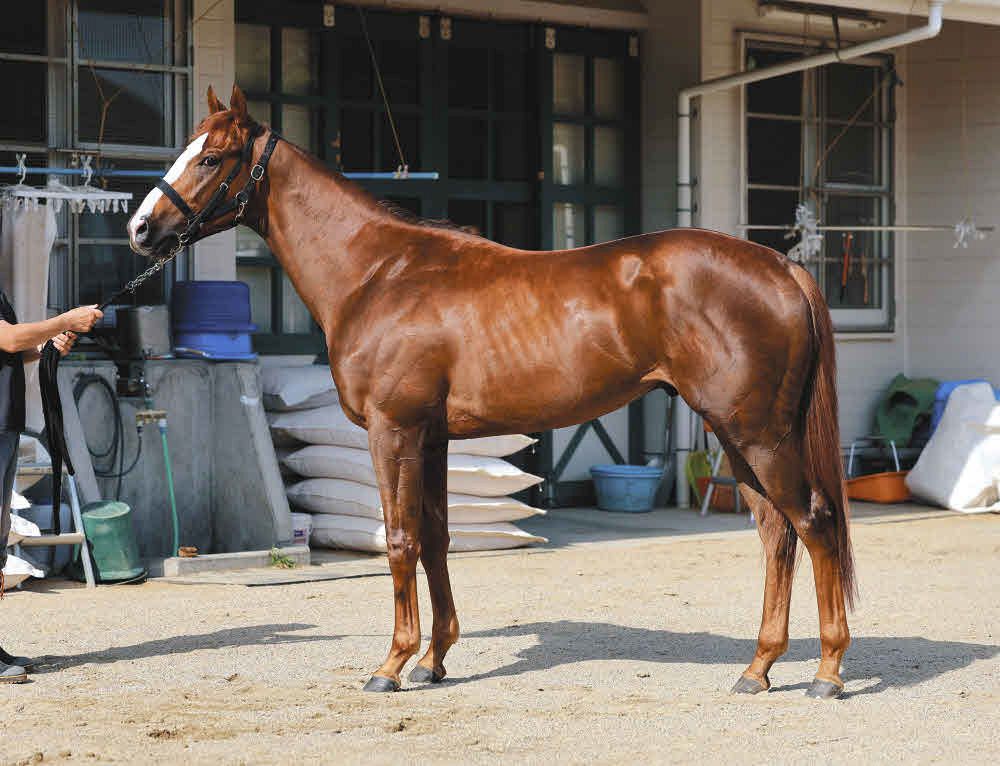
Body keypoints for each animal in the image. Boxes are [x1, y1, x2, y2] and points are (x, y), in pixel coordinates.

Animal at [128, 85, 855, 699]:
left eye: (211, 157)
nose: (139, 229)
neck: (379, 272)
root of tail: (781, 266)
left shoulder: (394, 430)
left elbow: (399, 539)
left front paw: (391, 665)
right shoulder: (434, 438)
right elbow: (437, 538)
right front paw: (433, 660)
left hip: (758, 435)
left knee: (813, 524)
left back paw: (826, 672)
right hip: (741, 437)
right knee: (776, 535)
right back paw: (757, 669)